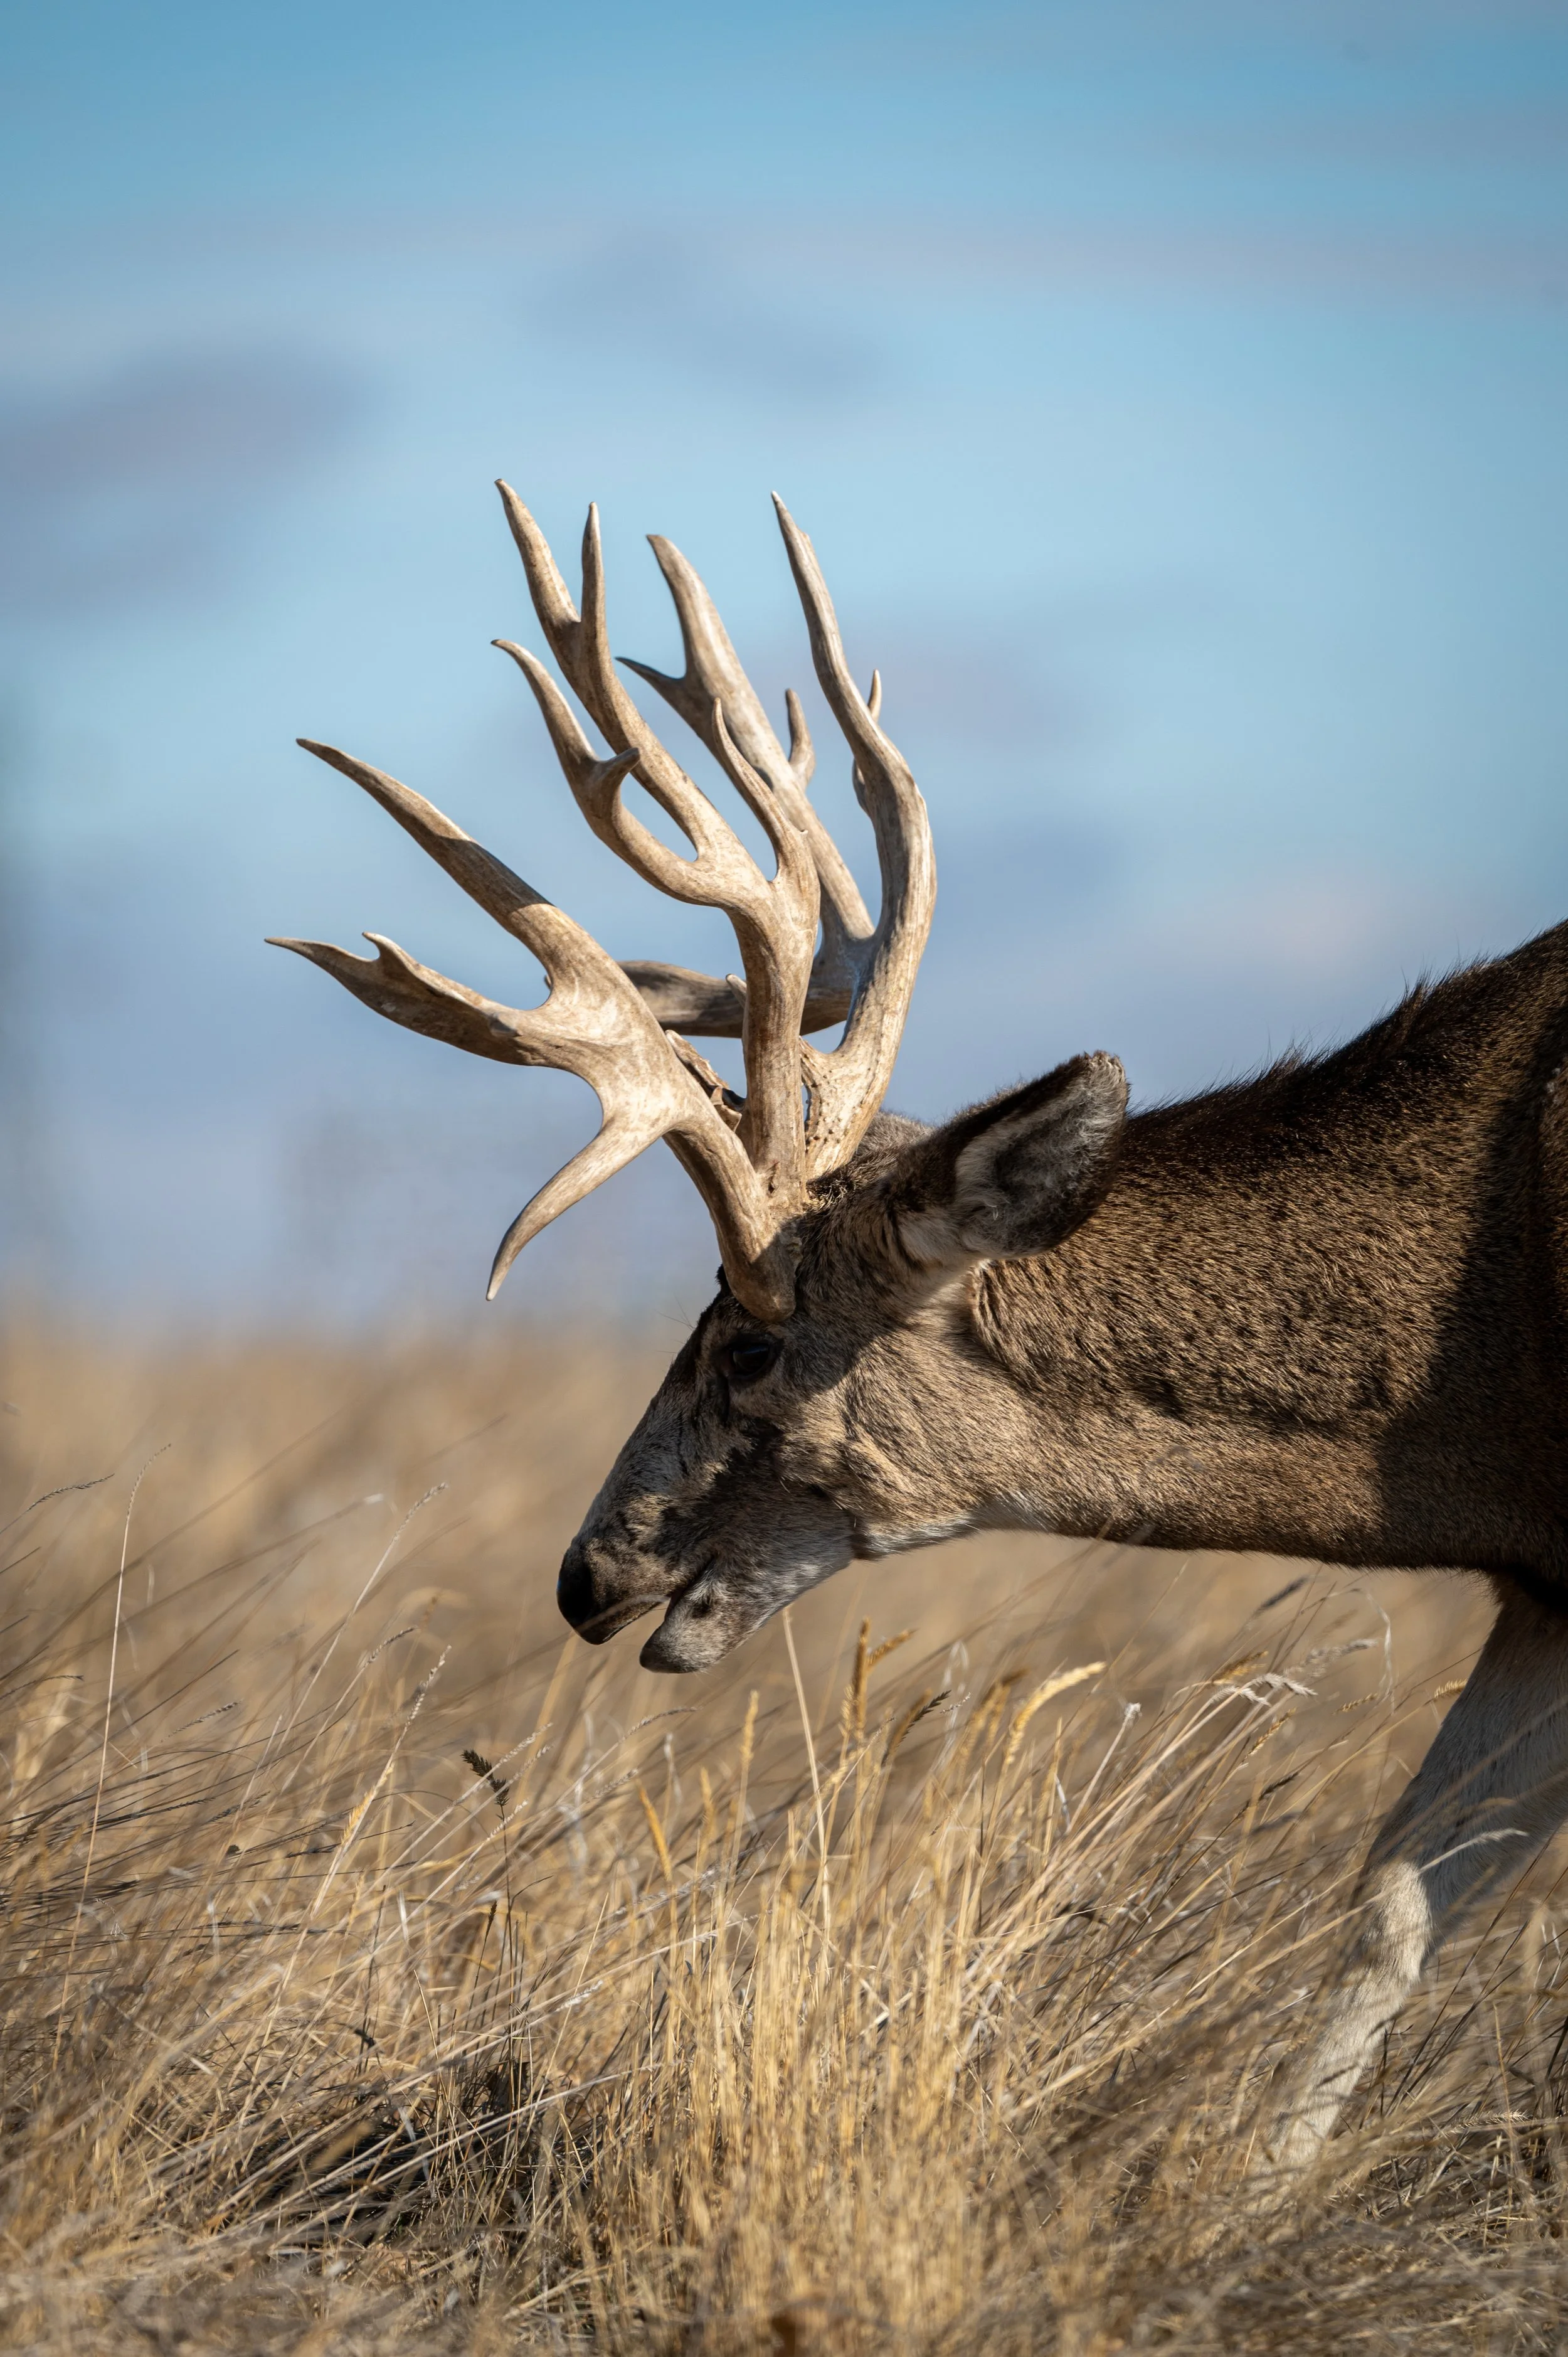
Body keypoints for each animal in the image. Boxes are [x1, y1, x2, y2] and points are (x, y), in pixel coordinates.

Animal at [273, 480, 1568, 2170]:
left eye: (747, 1337)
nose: (585, 1573)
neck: (1482, 1364)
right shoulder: (1545, 1589)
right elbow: (1396, 1899)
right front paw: (1257, 2184)